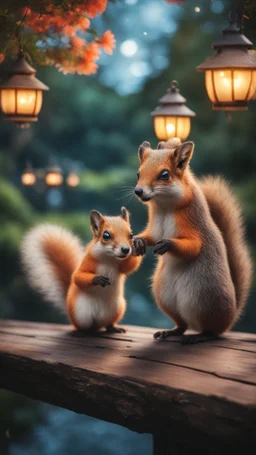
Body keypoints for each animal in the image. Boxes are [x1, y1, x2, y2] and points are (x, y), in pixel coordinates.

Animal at [133, 139, 253, 346]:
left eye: (165, 174)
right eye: (139, 173)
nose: (138, 191)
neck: (164, 206)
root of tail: (230, 318)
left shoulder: (194, 227)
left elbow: (193, 247)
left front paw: (168, 244)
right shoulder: (155, 228)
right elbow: (151, 237)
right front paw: (138, 241)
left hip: (204, 301)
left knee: (212, 331)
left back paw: (199, 336)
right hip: (164, 296)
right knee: (182, 325)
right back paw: (170, 331)